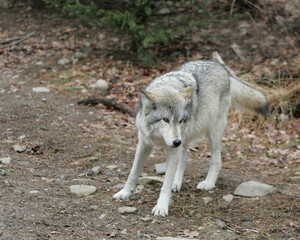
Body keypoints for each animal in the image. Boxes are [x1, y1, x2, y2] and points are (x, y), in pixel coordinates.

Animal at [113, 59, 270, 217]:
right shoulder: (144, 144)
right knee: (184, 159)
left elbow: (165, 184)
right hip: (186, 139)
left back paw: (208, 183)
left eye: (180, 120)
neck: (158, 138)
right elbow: (133, 173)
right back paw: (177, 183)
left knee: (216, 160)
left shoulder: (173, 149)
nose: (176, 142)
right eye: (165, 120)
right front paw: (125, 193)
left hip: (211, 133)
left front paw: (161, 206)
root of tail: (222, 68)